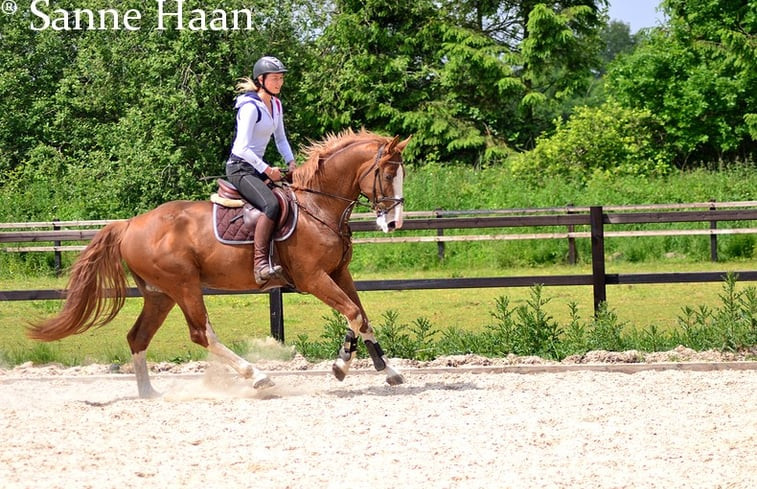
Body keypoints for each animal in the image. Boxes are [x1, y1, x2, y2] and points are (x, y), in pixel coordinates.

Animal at [28, 130, 408, 396]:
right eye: (388, 174)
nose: (393, 223)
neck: (319, 208)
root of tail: (130, 224)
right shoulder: (314, 278)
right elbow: (354, 314)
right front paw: (344, 365)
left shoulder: (338, 273)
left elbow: (360, 317)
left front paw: (379, 369)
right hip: (183, 285)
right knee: (201, 333)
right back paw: (257, 376)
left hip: (159, 294)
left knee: (138, 337)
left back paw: (150, 394)